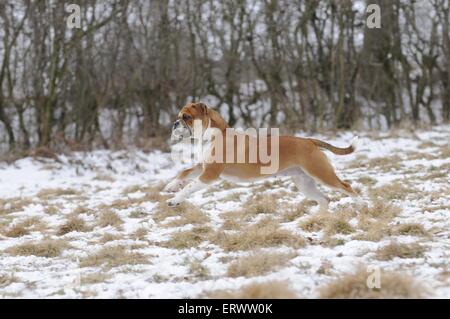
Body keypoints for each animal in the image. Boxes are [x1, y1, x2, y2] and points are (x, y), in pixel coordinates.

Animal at [165, 101, 358, 211]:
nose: (174, 123)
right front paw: (171, 186)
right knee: (324, 199)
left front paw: (175, 199)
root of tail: (309, 141)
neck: (213, 134)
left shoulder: (209, 175)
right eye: (179, 116)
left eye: (187, 117)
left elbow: (189, 187)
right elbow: (184, 172)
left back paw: (360, 207)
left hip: (322, 174)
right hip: (305, 183)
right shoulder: (203, 167)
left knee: (347, 187)